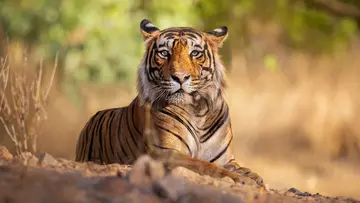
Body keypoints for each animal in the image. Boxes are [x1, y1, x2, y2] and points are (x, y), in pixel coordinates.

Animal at [74, 19, 264, 187]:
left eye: (195, 53)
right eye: (165, 53)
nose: (180, 77)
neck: (198, 111)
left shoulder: (225, 158)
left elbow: (240, 168)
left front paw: (253, 177)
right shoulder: (166, 153)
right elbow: (205, 165)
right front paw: (241, 179)